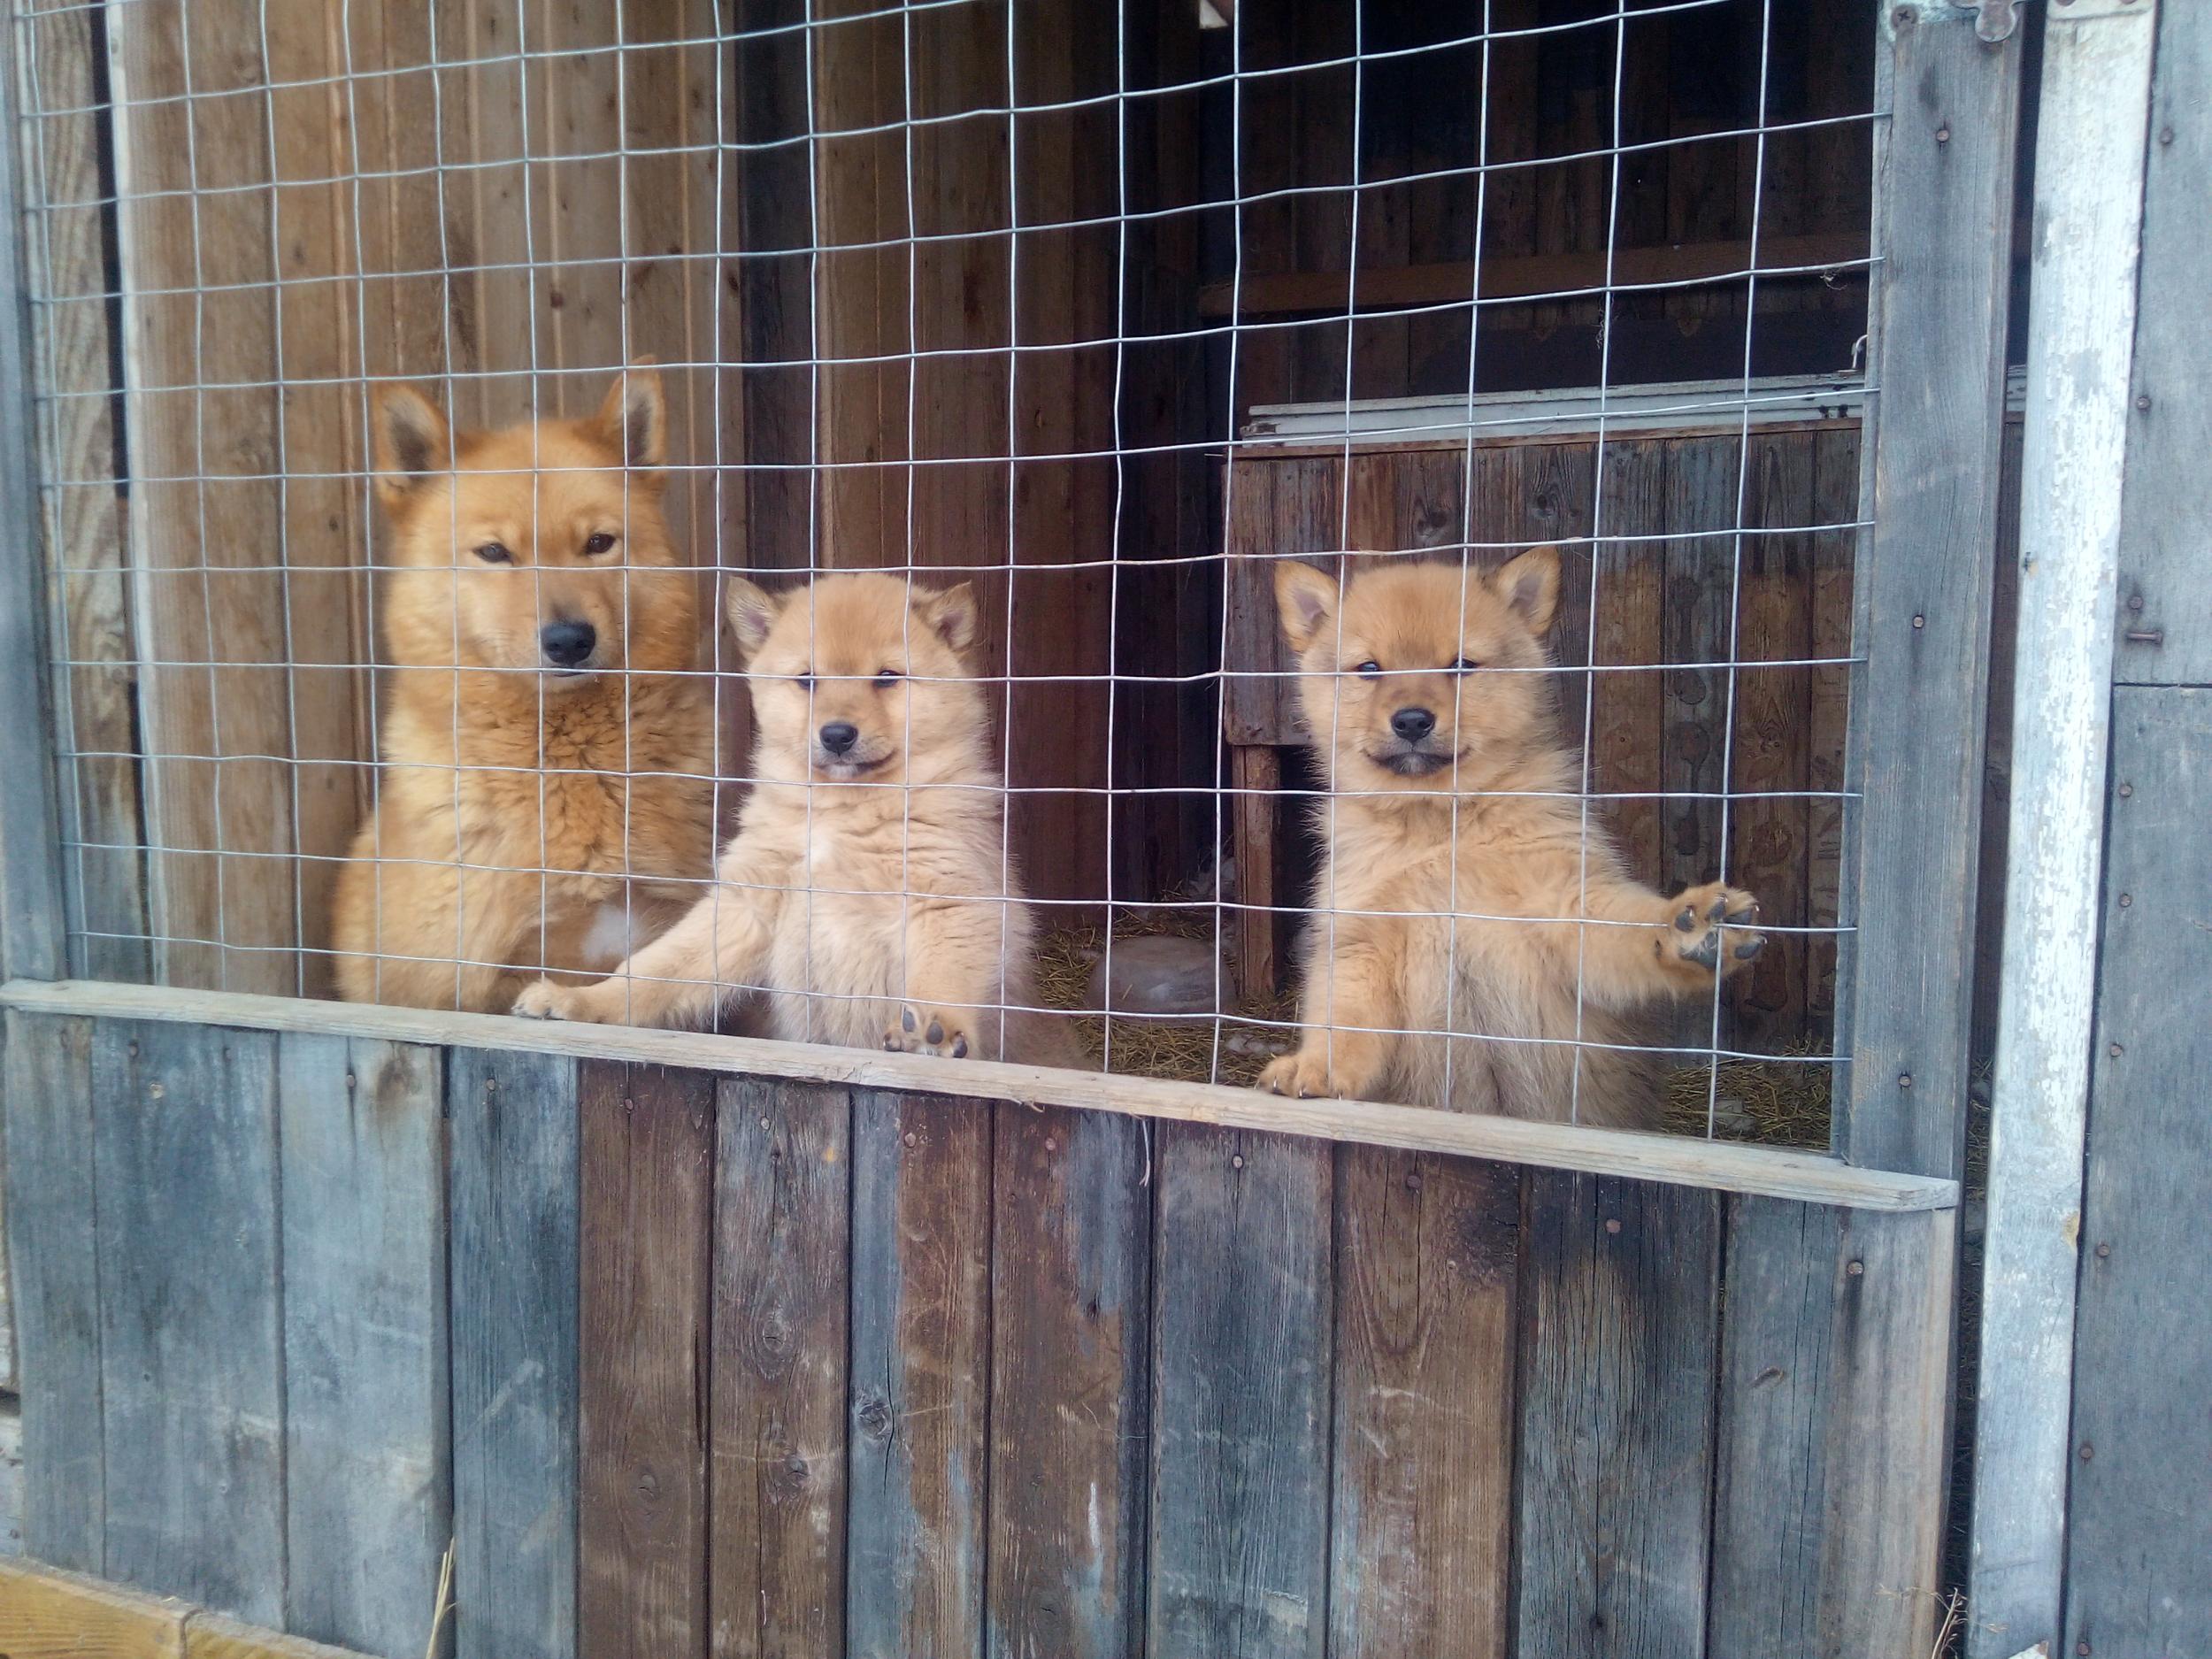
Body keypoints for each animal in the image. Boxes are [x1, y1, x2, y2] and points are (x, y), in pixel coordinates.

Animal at [513, 571, 1075, 1066]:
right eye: (807, 681)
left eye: (887, 679)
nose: (837, 734)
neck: (839, 814)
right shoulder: (746, 902)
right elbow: (655, 970)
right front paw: (583, 1002)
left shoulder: (946, 898)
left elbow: (943, 978)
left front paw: (935, 1030)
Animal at [1265, 549, 1761, 1133]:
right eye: (1369, 669)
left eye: (1461, 665)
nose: (1411, 720)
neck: (1441, 830)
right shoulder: (1360, 943)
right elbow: (1345, 1022)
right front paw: (1317, 1067)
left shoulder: (1564, 902)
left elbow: (1625, 928)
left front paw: (1694, 929)